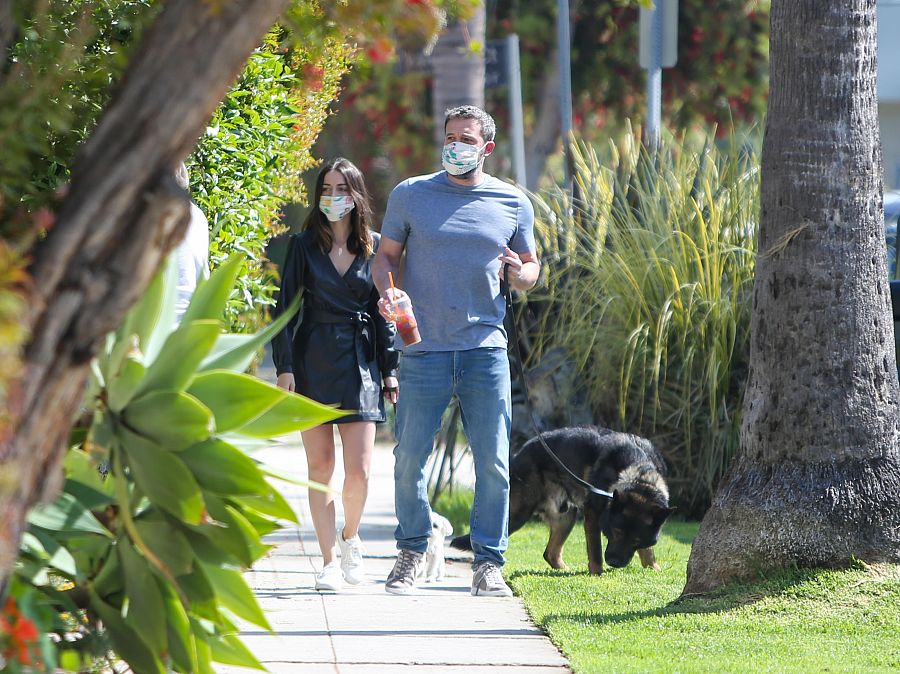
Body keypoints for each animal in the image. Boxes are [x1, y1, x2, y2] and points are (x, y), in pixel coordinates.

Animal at [454, 426, 672, 572]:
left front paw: (653, 569)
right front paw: (597, 574)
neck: (640, 473)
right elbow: (595, 552)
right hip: (517, 515)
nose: (615, 563)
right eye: (616, 532)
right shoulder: (593, 515)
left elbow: (648, 551)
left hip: (566, 516)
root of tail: (519, 453)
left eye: (636, 539)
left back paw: (565, 571)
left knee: (550, 553)